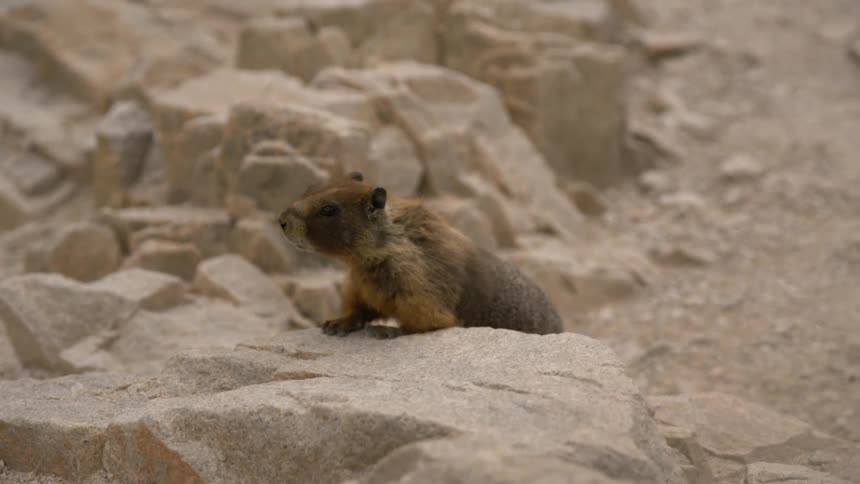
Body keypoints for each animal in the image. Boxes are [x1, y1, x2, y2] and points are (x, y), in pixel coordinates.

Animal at [277, 171, 563, 338]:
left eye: (329, 210)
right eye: (310, 188)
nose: (281, 221)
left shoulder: (418, 276)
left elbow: (429, 315)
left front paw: (388, 330)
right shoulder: (359, 280)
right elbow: (359, 303)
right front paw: (338, 322)